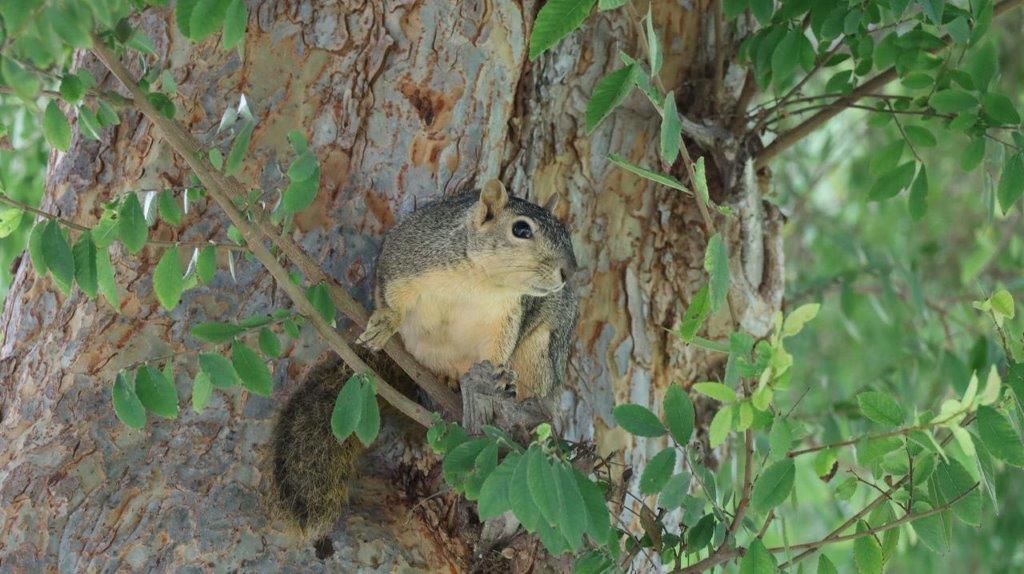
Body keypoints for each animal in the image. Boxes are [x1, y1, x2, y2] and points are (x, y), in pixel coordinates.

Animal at [268, 180, 581, 552]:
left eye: (565, 230)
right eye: (521, 229)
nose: (569, 271)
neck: (480, 282)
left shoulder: (507, 316)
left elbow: (497, 350)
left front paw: (497, 373)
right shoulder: (408, 260)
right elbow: (392, 297)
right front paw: (385, 323)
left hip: (541, 351)